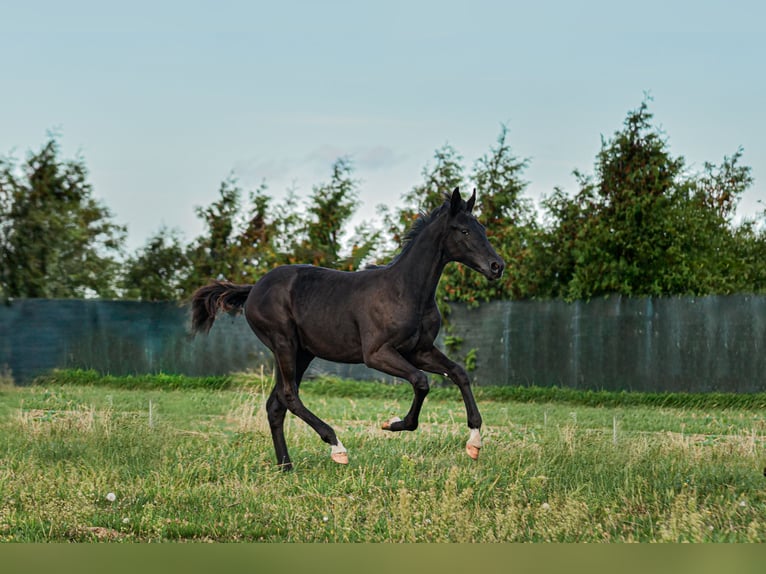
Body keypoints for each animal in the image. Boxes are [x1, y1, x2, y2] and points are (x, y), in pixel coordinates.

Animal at [190, 187, 505, 470]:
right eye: (463, 231)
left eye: (482, 228)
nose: (496, 266)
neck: (405, 290)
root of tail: (254, 287)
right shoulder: (377, 354)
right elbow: (420, 381)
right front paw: (393, 423)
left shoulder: (420, 350)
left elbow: (459, 373)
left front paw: (474, 443)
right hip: (284, 344)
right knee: (290, 396)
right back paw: (336, 446)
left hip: (302, 352)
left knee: (276, 404)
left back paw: (286, 466)